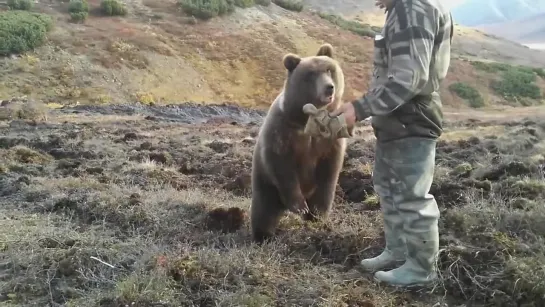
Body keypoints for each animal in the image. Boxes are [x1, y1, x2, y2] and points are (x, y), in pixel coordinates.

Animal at [251, 44, 352, 245]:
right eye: (311, 74)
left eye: (329, 69)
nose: (329, 88)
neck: (310, 118)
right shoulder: (283, 130)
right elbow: (282, 165)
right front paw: (300, 206)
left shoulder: (330, 138)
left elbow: (329, 171)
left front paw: (317, 213)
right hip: (266, 183)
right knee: (263, 209)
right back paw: (262, 235)